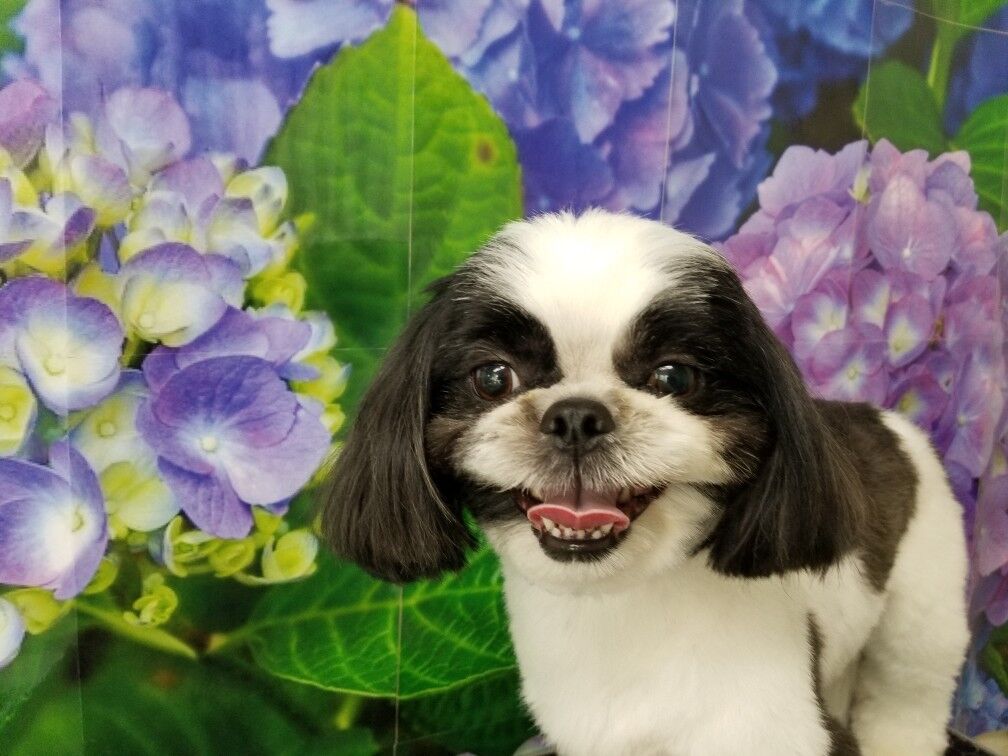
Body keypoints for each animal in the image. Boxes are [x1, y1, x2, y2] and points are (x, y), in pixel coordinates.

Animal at [323, 210, 969, 755]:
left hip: (923, 612)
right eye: (493, 377)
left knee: (908, 698)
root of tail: (883, 417)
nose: (576, 417)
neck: (616, 609)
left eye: (674, 376)